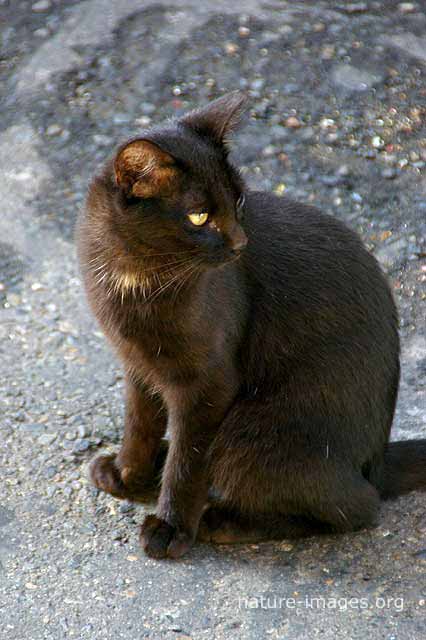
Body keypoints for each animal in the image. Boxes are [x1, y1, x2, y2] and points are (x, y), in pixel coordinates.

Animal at [76, 92, 426, 556]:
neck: (139, 276)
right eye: (199, 216)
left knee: (357, 508)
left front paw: (170, 527)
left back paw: (223, 521)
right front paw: (127, 475)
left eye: (239, 201)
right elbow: (139, 422)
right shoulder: (137, 364)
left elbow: (189, 461)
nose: (241, 243)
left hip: (251, 431)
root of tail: (377, 460)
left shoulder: (210, 384)